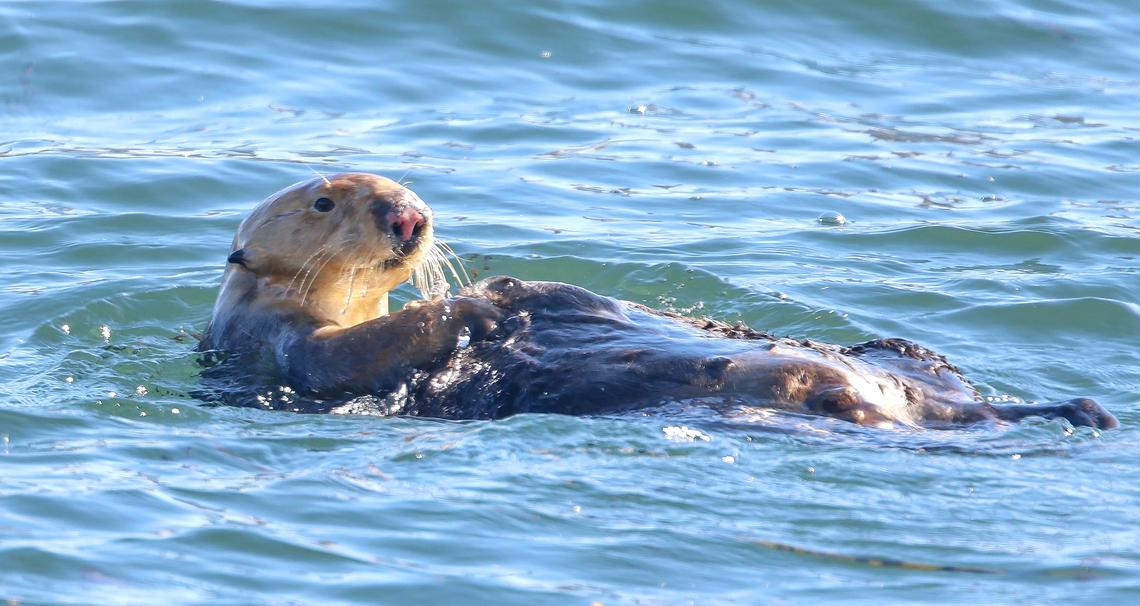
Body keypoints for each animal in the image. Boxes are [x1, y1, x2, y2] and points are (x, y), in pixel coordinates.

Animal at [196, 173, 1118, 430]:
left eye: (392, 185)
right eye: (325, 203)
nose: (407, 215)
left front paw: (507, 288)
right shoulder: (282, 345)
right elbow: (354, 351)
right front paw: (481, 308)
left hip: (906, 362)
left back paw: (1076, 409)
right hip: (812, 394)